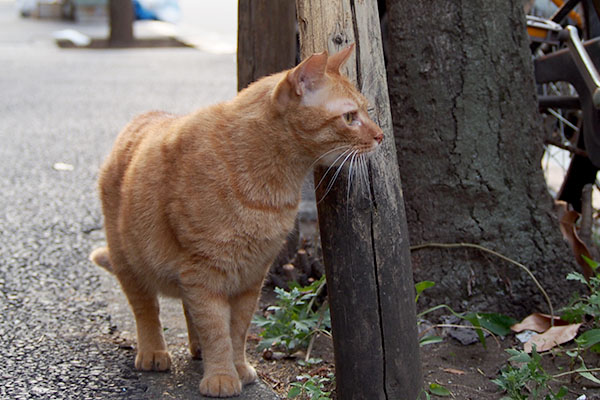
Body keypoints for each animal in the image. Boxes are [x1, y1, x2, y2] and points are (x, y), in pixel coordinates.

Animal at [89, 44, 380, 396]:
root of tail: (142, 117)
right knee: (147, 311)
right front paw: (221, 376)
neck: (273, 183)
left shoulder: (251, 276)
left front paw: (237, 367)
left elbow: (237, 329)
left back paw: (196, 348)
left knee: (188, 309)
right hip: (129, 262)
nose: (380, 136)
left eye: (367, 111)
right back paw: (154, 352)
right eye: (350, 117)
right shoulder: (204, 272)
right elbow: (216, 329)